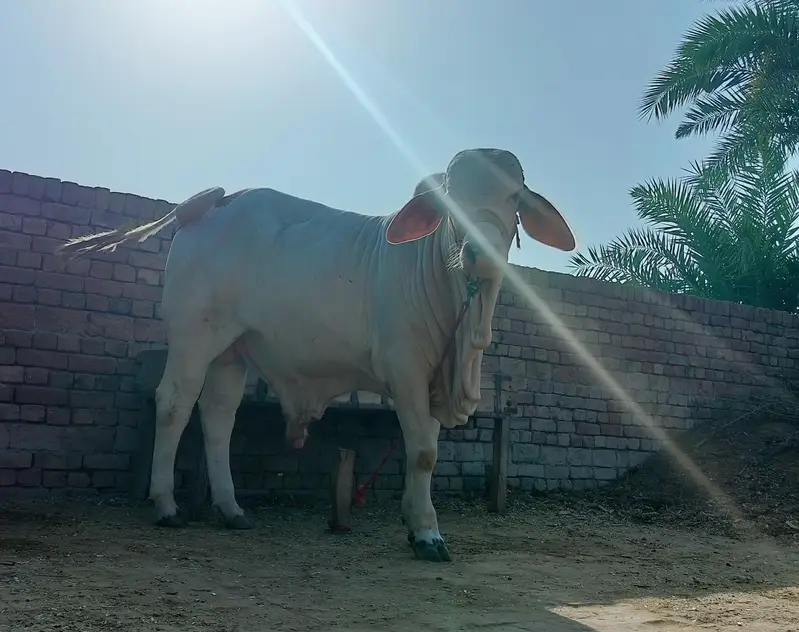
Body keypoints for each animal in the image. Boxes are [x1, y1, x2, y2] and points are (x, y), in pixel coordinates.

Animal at [59, 148, 575, 562]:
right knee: (175, 404)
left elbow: (423, 454)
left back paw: (231, 509)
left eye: (514, 197)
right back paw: (166, 505)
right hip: (194, 335)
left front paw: (416, 525)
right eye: (451, 201)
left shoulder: (430, 378)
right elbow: (424, 453)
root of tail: (213, 201)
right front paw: (428, 535)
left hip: (231, 350)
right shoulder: (407, 370)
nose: (479, 254)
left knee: (218, 416)